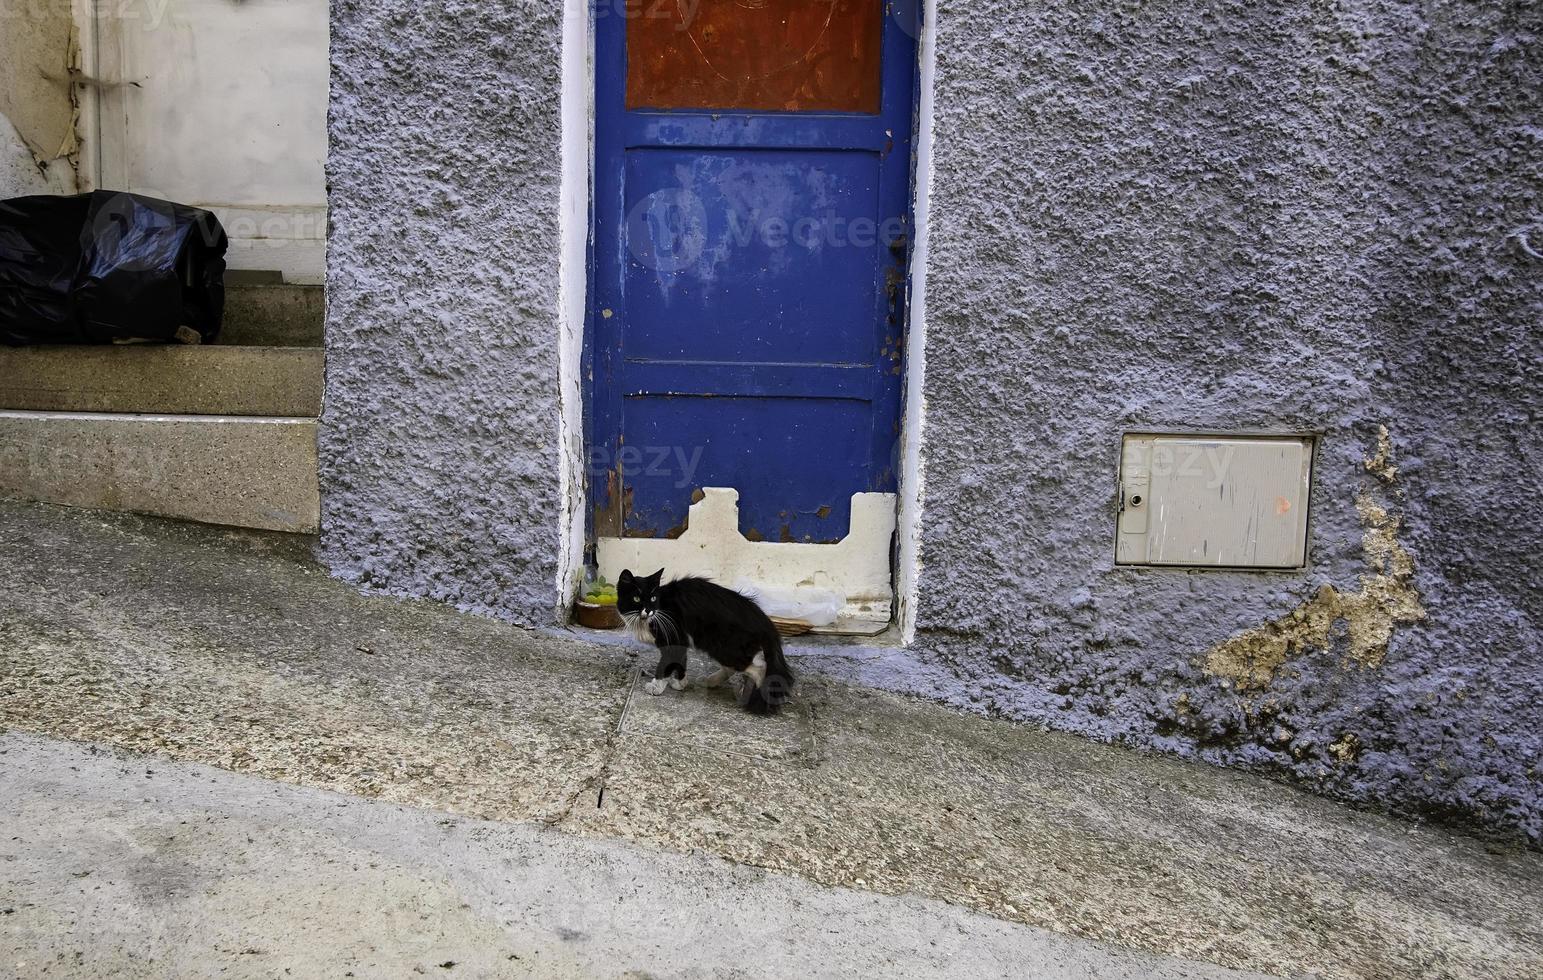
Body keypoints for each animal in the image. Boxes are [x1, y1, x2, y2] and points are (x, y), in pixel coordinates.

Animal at [614, 571, 796, 716]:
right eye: (636, 598)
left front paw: (657, 687)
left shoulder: (673, 640)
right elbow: (680, 663)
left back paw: (754, 697)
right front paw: (680, 683)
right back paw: (711, 681)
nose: (648, 610)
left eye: (653, 598)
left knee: (759, 668)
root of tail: (765, 621)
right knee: (737, 667)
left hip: (724, 646)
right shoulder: (681, 642)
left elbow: (665, 665)